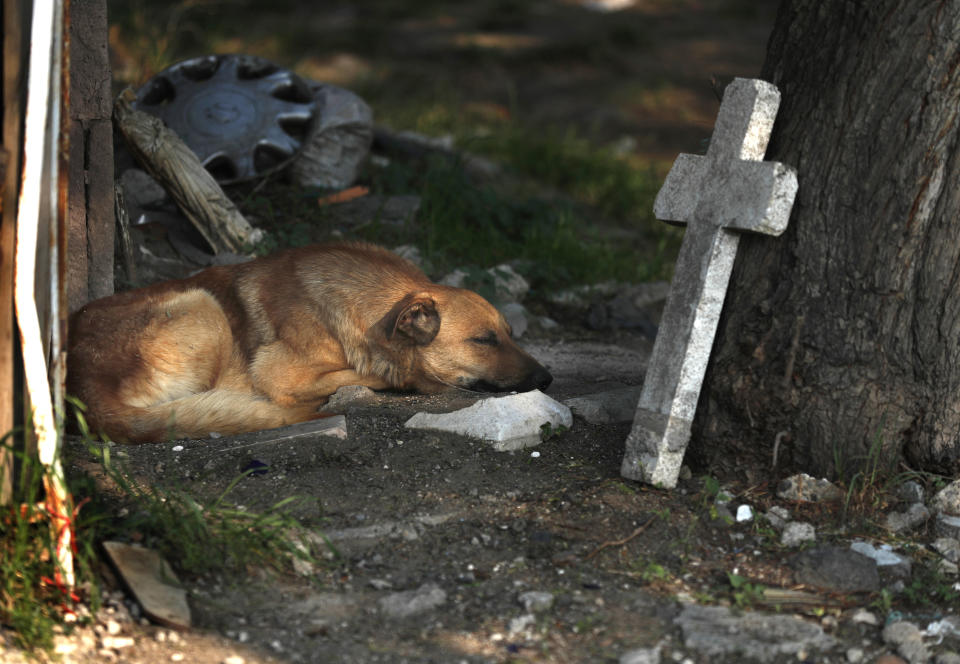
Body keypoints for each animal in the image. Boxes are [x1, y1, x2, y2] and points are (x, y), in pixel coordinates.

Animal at [67, 243, 552, 440]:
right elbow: (368, 373)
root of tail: (84, 390)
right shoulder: (278, 373)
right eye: (483, 340)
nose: (548, 377)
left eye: (510, 335)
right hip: (202, 304)